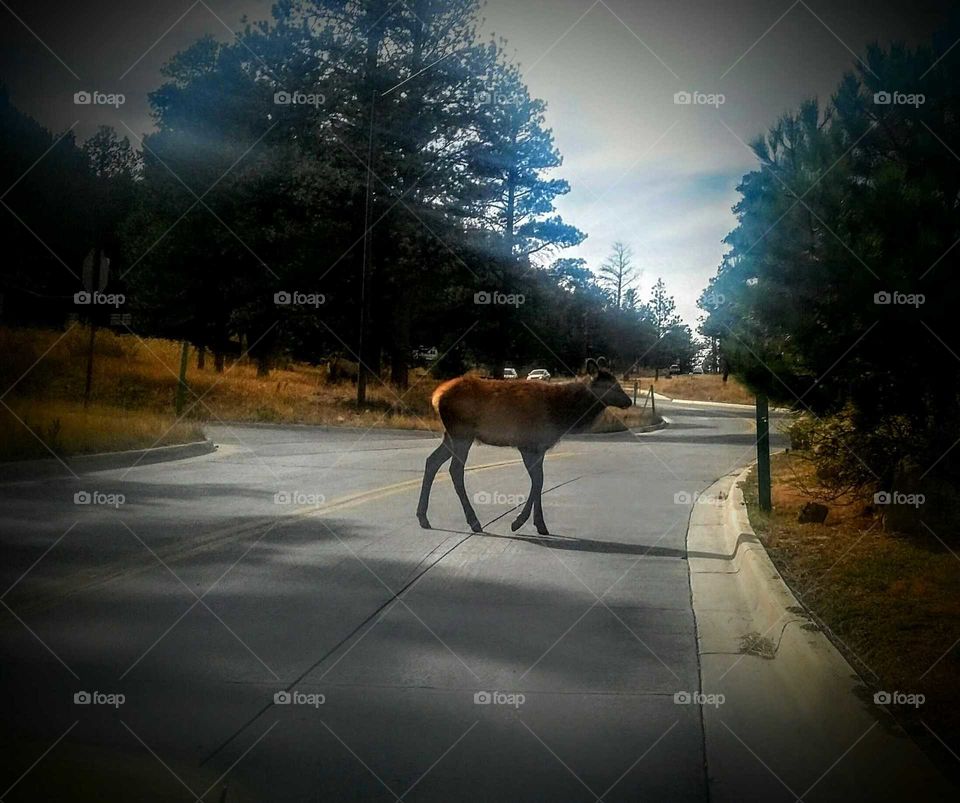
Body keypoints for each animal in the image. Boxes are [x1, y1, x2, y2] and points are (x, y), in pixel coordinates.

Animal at [416, 360, 632, 536]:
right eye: (610, 385)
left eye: (617, 382)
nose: (629, 401)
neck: (561, 415)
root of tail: (437, 396)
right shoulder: (527, 444)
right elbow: (538, 481)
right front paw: (519, 522)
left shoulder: (539, 447)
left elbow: (540, 480)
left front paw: (540, 524)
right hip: (462, 433)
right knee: (455, 470)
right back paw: (474, 521)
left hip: (451, 435)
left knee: (432, 461)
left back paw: (423, 517)